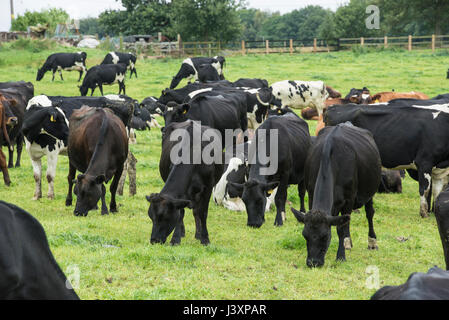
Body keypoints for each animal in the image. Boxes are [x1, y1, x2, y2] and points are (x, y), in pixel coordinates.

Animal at [290, 122, 382, 268]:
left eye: (325, 236)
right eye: (305, 235)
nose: (313, 263)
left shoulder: (349, 199)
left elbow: (341, 229)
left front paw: (341, 256)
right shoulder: (311, 194)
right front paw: (344, 246)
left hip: (369, 191)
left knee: (369, 213)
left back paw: (372, 242)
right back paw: (348, 243)